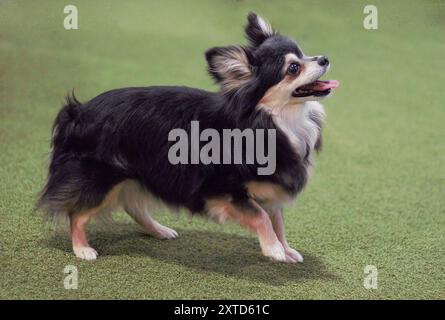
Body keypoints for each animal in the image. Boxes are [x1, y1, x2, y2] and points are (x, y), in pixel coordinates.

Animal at [36, 13, 338, 262]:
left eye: (304, 54)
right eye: (293, 69)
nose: (324, 58)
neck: (277, 121)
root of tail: (77, 111)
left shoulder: (273, 190)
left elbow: (278, 221)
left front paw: (285, 249)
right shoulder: (222, 190)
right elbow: (262, 216)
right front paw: (273, 249)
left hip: (137, 173)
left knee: (133, 205)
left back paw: (159, 230)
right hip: (102, 178)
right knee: (77, 213)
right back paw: (82, 249)